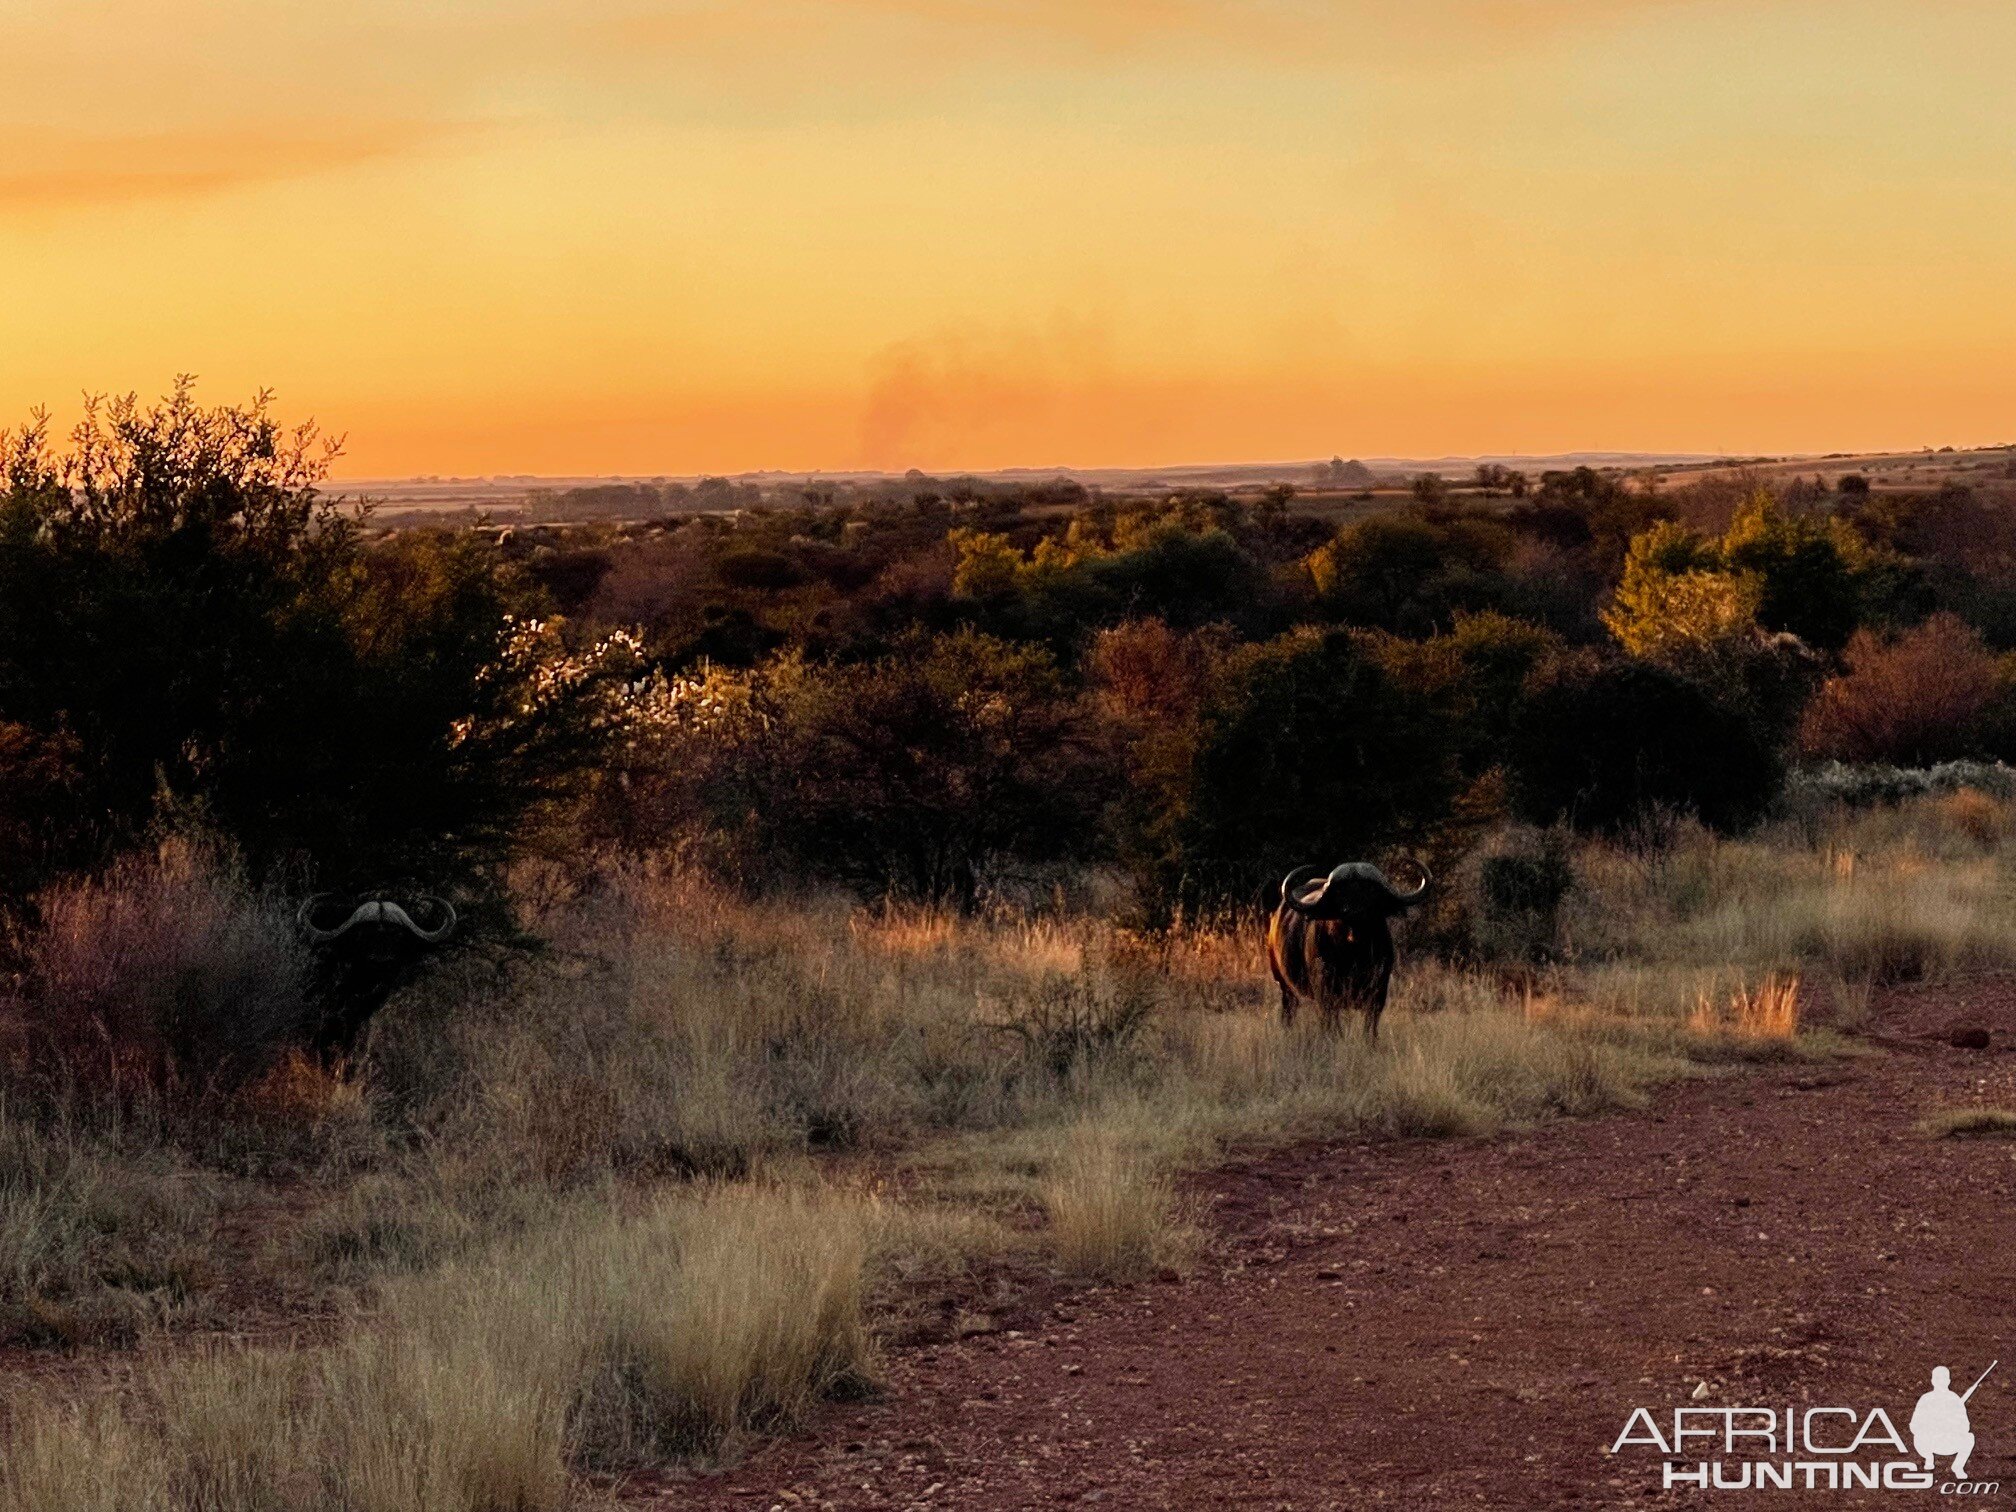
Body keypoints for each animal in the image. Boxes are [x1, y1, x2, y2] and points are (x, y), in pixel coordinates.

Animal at [1257, 862, 1435, 1040]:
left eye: (1370, 890)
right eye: (1340, 892)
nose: (1354, 912)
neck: (1353, 952)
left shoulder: (1379, 991)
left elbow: (1370, 1024)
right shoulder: (1325, 991)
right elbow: (1331, 1023)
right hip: (1284, 984)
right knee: (1289, 1010)